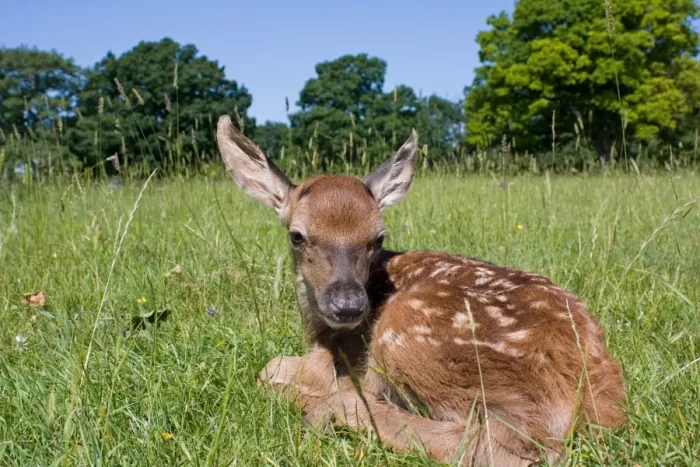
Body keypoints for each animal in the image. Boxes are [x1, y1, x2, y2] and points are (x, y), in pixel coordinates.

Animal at [215, 115, 627, 466]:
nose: (349, 306)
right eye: (297, 236)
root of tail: (597, 404)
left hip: (408, 332)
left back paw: (327, 407)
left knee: (503, 444)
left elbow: (270, 369)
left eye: (378, 238)